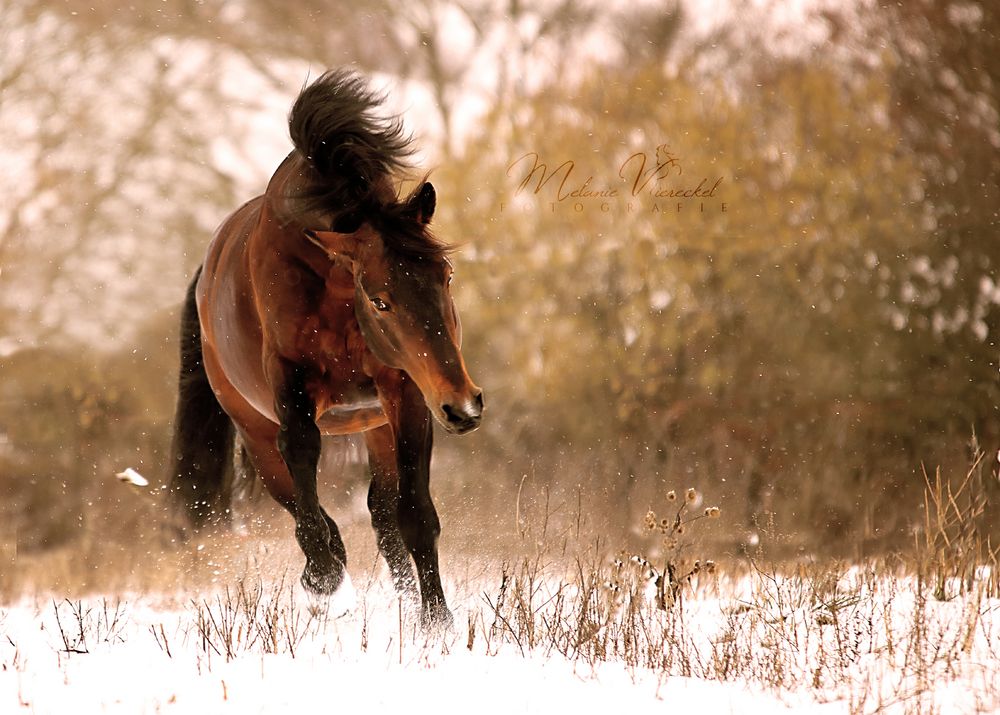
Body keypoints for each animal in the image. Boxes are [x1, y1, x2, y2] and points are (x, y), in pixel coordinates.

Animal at [168, 68, 484, 628]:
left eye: (446, 276)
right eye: (379, 299)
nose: (463, 406)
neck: (335, 288)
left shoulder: (405, 391)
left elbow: (415, 514)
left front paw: (437, 624)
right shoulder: (290, 389)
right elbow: (303, 463)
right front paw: (322, 573)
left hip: (375, 423)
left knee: (382, 515)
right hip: (252, 425)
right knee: (295, 498)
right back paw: (325, 568)